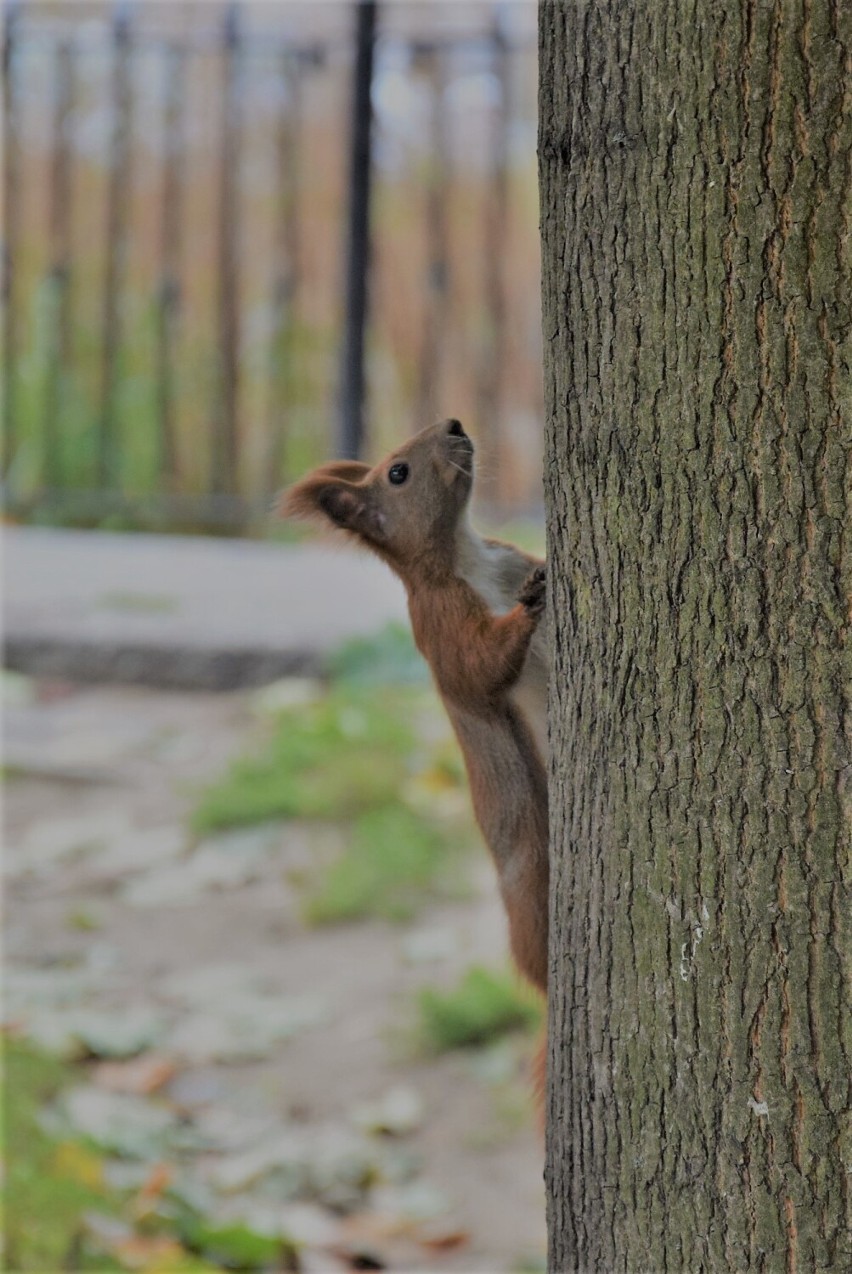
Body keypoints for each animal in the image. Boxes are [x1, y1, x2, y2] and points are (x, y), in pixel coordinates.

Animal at [282, 417, 547, 993]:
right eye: (398, 473)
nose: (454, 423)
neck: (466, 553)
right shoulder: (440, 621)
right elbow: (478, 666)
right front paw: (529, 607)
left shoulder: (509, 556)